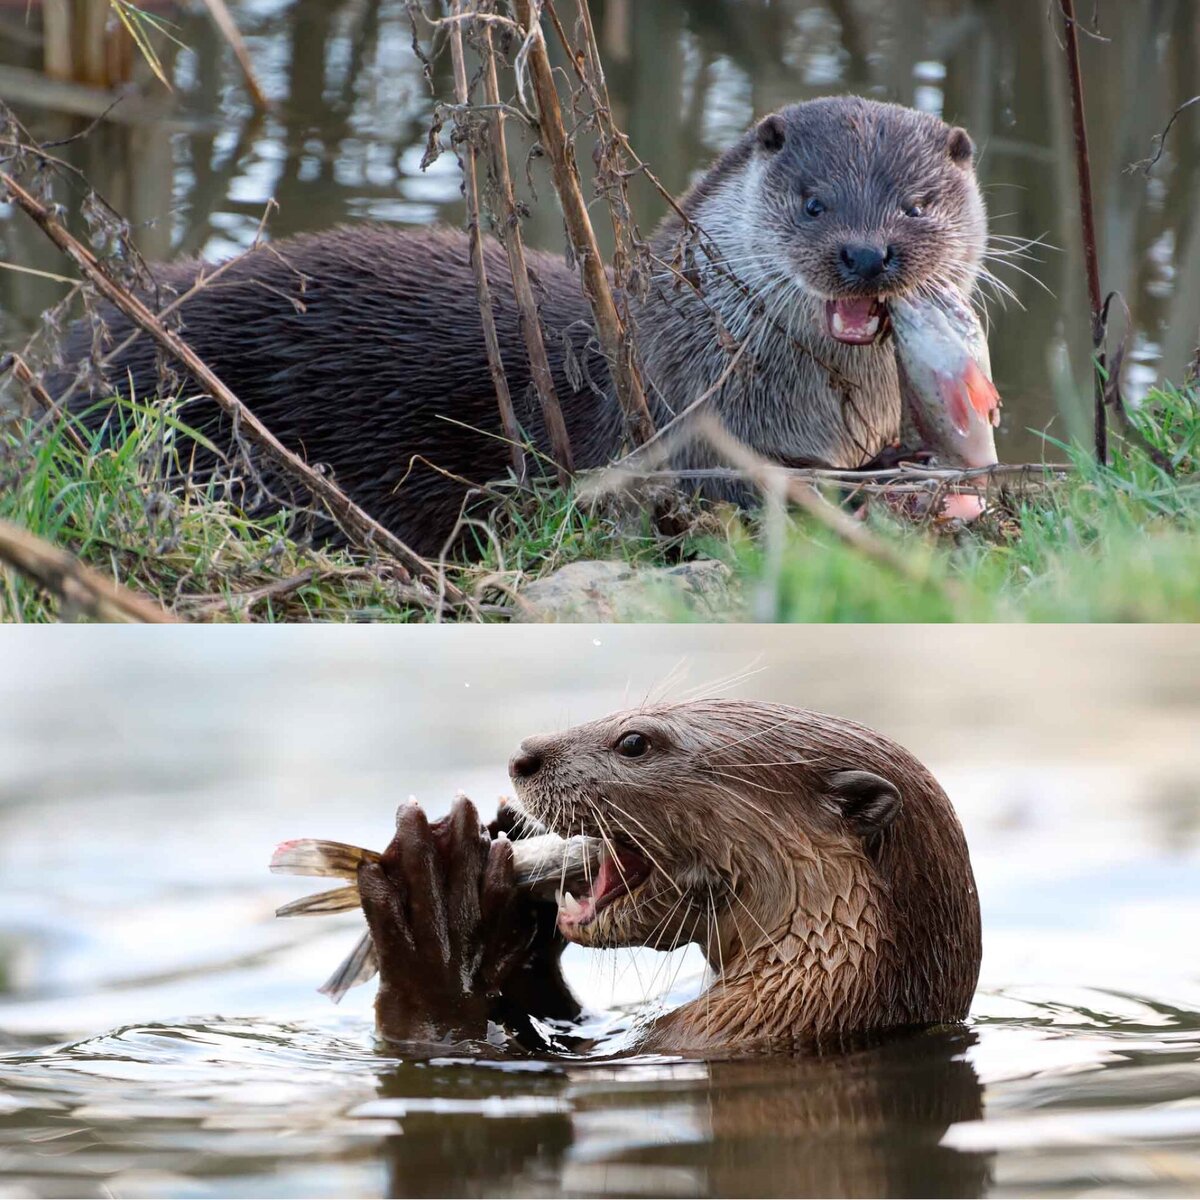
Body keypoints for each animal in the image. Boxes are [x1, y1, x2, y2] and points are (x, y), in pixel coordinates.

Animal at [60, 96, 988, 554]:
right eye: (813, 202)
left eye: (915, 204)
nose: (866, 254)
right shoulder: (685, 424)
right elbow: (748, 485)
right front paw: (888, 475)